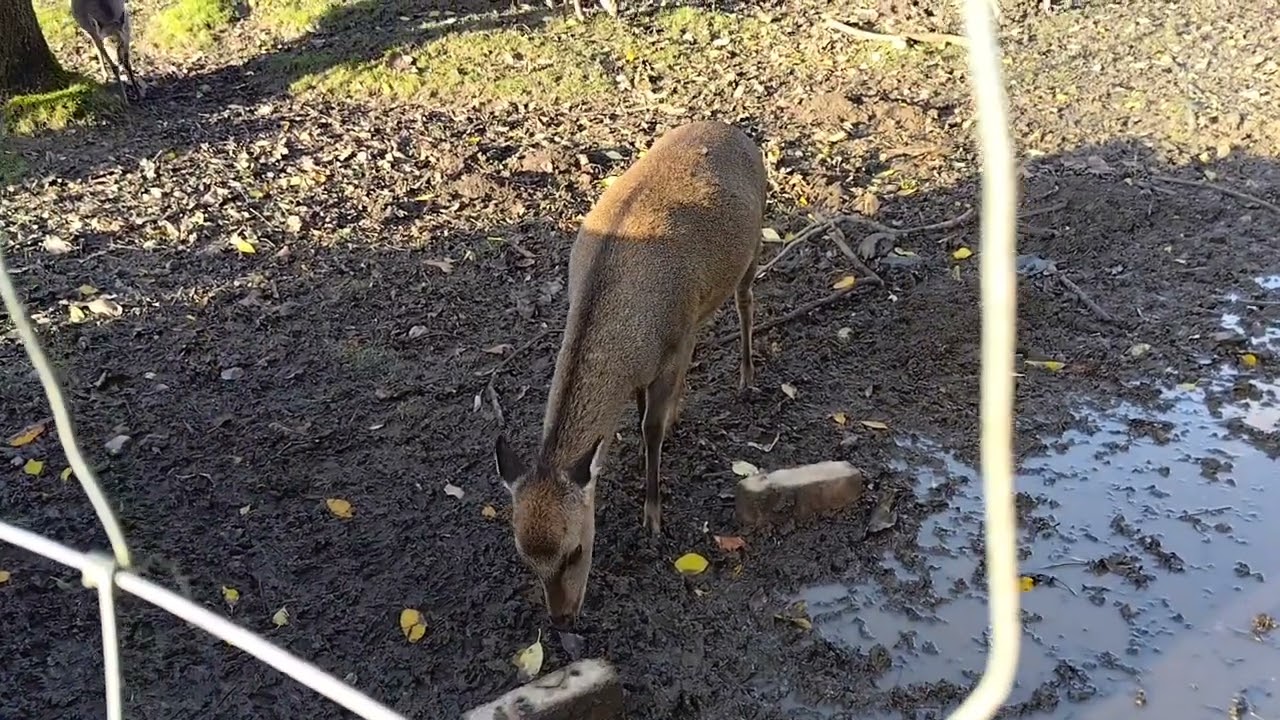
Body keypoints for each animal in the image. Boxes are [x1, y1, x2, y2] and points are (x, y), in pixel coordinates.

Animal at [493, 120, 767, 626]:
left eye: (576, 549)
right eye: (525, 558)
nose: (561, 618)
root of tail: (734, 129)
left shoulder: (675, 344)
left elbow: (650, 428)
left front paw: (653, 518)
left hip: (756, 241)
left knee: (745, 303)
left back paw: (745, 379)